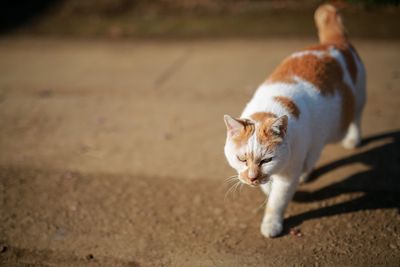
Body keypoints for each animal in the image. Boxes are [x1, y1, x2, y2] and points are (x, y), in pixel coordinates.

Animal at [222, 3, 366, 239]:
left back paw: (352, 139)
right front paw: (266, 187)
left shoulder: (288, 174)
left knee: (355, 118)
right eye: (241, 159)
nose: (252, 177)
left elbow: (277, 201)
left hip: (358, 100)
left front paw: (271, 224)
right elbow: (269, 188)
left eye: (266, 160)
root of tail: (334, 41)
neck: (269, 108)